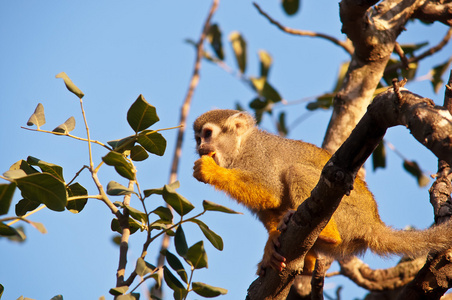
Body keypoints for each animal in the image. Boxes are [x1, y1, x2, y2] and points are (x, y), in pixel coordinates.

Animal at [192, 109, 452, 274]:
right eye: (197, 139)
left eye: (207, 134)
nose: (200, 147)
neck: (239, 148)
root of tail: (372, 223)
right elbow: (269, 205)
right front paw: (272, 242)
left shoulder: (256, 155)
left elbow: (271, 191)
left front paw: (210, 170)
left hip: (347, 213)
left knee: (296, 170)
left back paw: (327, 233)